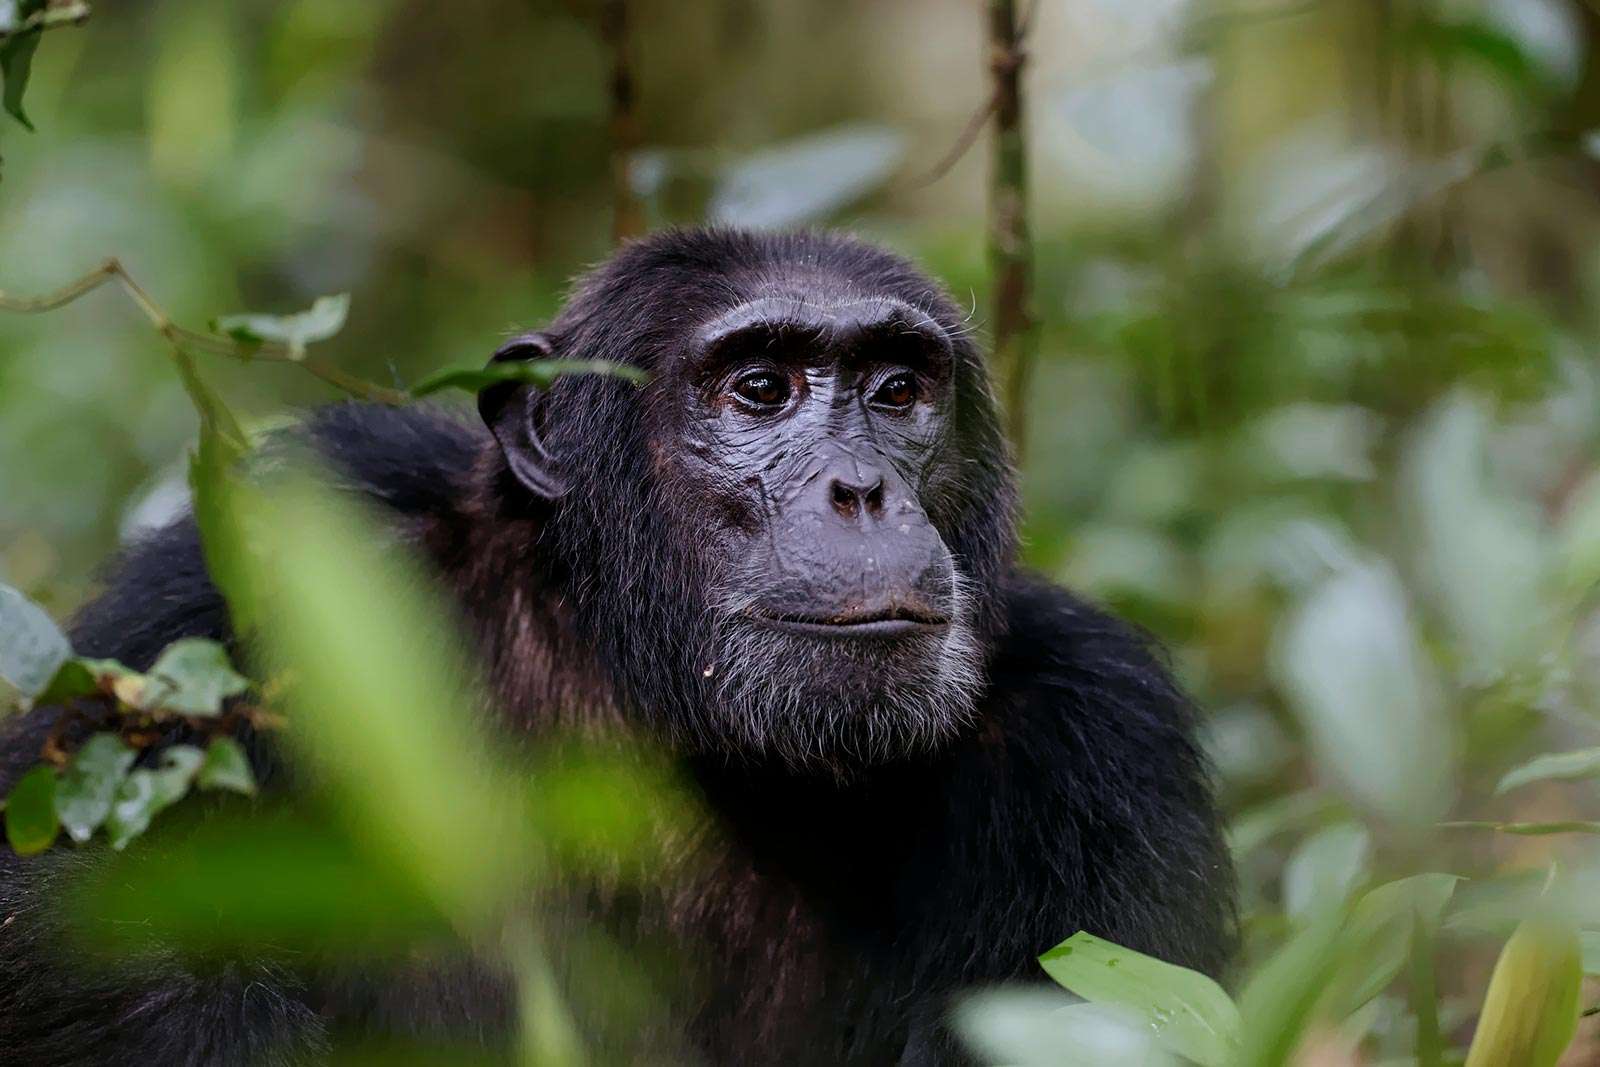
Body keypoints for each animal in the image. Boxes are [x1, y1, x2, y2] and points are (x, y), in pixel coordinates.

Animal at [0, 230, 1235, 1062]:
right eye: (759, 387)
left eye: (897, 391)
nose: (862, 488)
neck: (639, 680)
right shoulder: (244, 586)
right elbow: (63, 904)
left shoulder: (1096, 736)